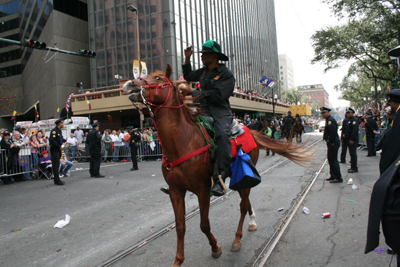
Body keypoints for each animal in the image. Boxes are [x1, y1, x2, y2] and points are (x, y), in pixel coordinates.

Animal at [123, 65, 310, 267]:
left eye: (157, 78)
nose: (129, 84)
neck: (181, 141)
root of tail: (249, 130)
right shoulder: (175, 190)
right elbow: (180, 226)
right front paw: (178, 260)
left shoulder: (203, 189)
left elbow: (204, 224)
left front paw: (215, 248)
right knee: (246, 203)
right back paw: (252, 222)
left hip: (243, 177)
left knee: (242, 205)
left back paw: (237, 239)